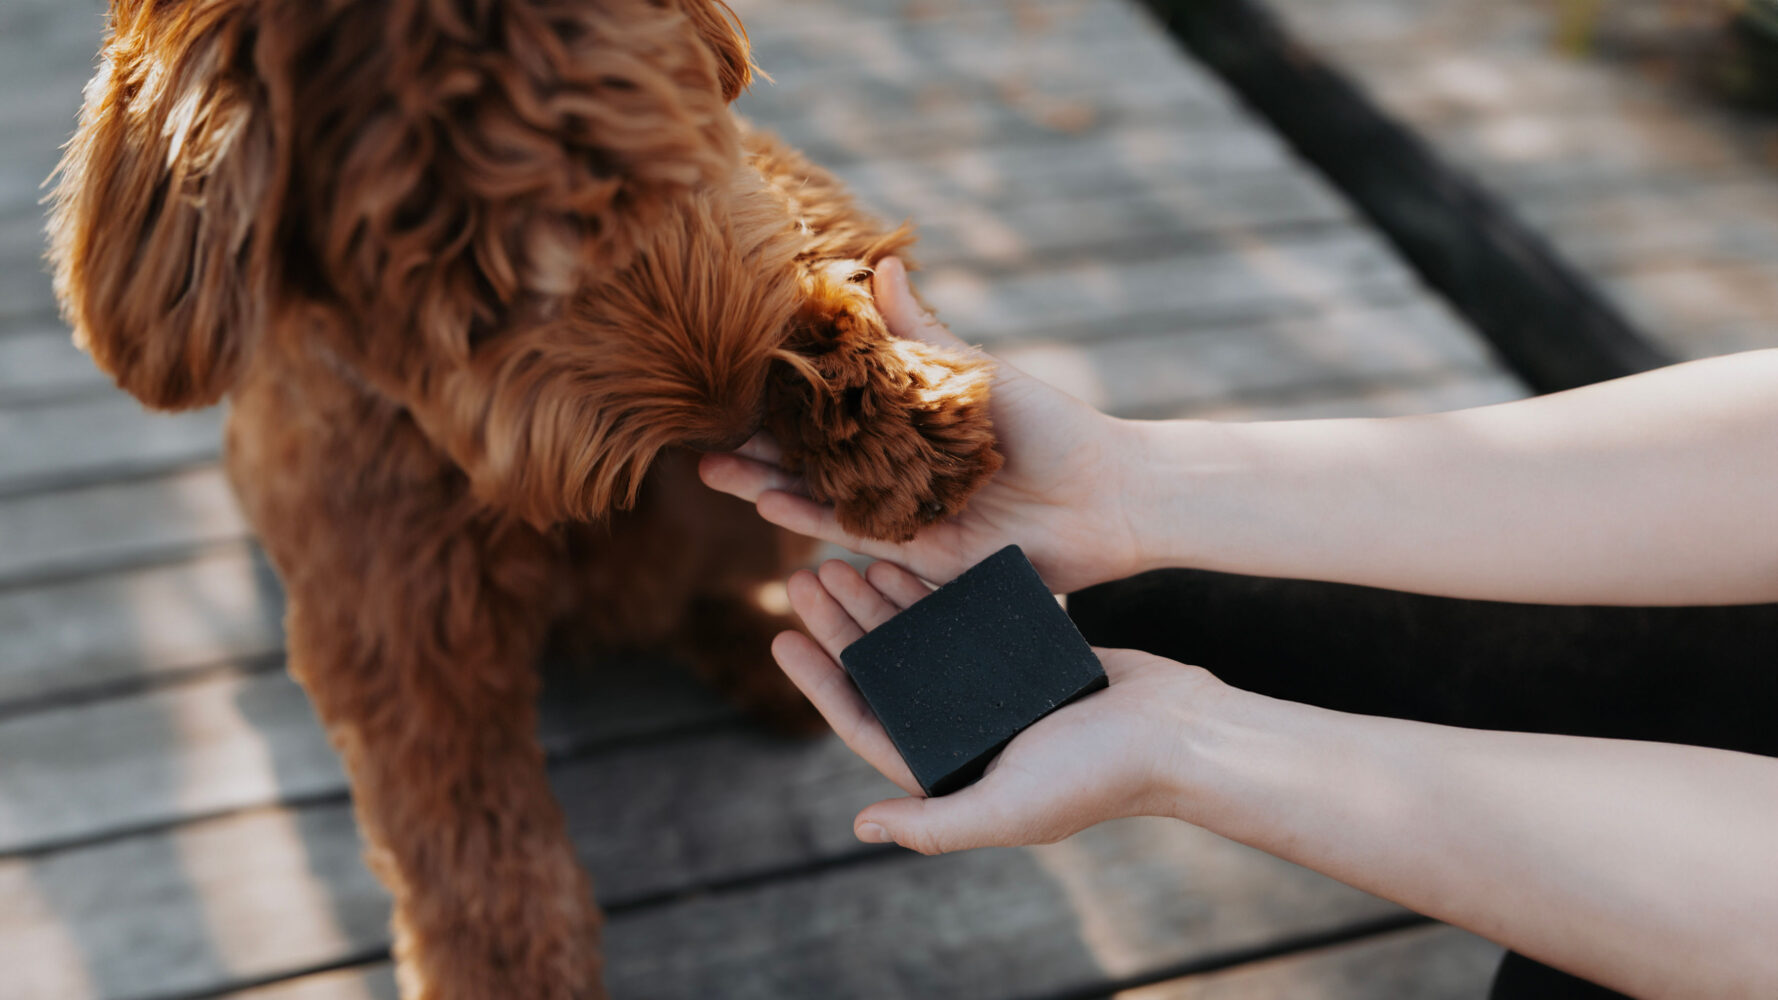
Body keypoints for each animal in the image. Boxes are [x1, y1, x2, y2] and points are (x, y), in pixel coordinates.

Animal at [45, 3, 1002, 989]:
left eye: (666, 147)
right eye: (463, 284)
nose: (730, 421)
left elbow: (798, 218)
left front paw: (894, 412)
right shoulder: (404, 632)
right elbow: (482, 868)